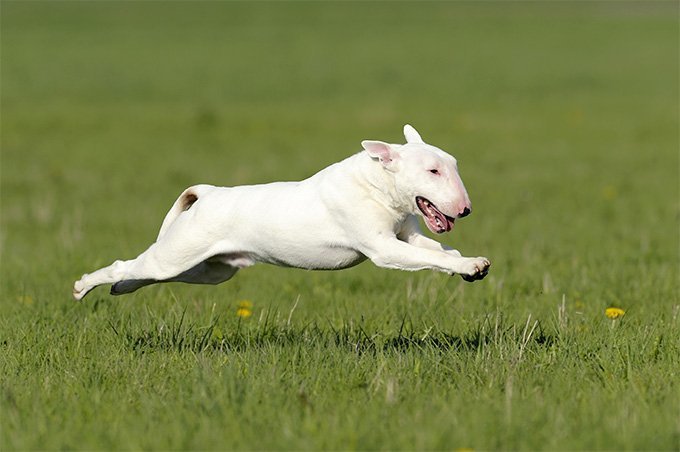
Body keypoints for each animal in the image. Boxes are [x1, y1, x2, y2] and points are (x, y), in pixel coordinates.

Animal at [73, 124, 488, 300]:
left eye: (452, 164)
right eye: (433, 171)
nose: (466, 209)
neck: (376, 184)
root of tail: (207, 194)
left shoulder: (408, 234)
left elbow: (438, 250)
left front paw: (472, 264)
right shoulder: (383, 248)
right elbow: (427, 256)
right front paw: (469, 266)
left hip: (212, 269)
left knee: (146, 274)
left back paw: (121, 288)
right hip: (177, 254)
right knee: (128, 264)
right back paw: (83, 286)